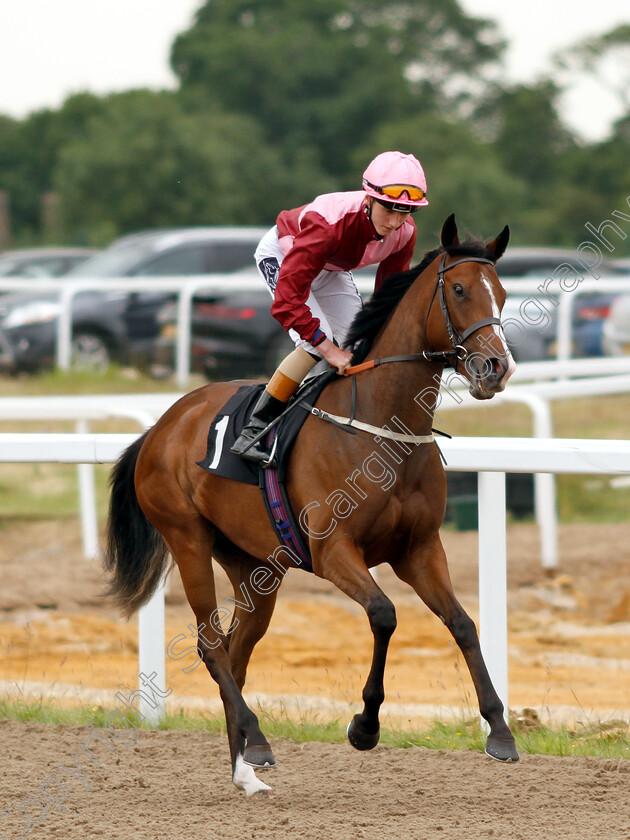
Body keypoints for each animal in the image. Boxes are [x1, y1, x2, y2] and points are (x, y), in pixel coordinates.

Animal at [102, 215, 520, 796]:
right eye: (459, 290)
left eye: (500, 292)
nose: (495, 368)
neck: (381, 426)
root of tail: (160, 426)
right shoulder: (333, 550)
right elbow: (384, 615)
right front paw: (364, 726)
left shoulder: (418, 549)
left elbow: (463, 624)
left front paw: (500, 730)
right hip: (187, 539)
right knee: (211, 644)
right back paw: (256, 738)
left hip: (256, 566)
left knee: (237, 649)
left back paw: (246, 765)